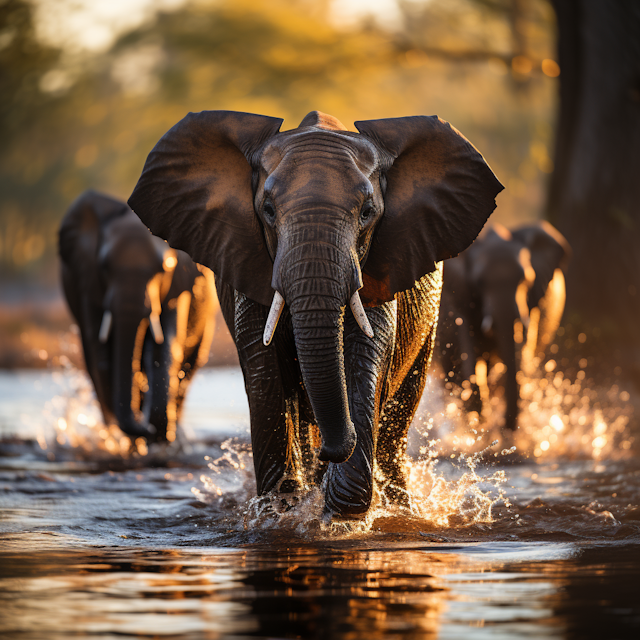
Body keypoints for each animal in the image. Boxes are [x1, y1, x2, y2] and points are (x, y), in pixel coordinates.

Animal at [58, 188, 218, 442]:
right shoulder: (88, 282)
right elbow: (101, 352)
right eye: (104, 266)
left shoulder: (178, 286)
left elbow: (164, 347)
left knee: (188, 369)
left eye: (164, 269)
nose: (145, 426)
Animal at [127, 110, 502, 516]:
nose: (333, 450)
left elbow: (364, 356)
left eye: (367, 213)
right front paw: (283, 510)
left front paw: (335, 512)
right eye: (268, 211)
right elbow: (265, 371)